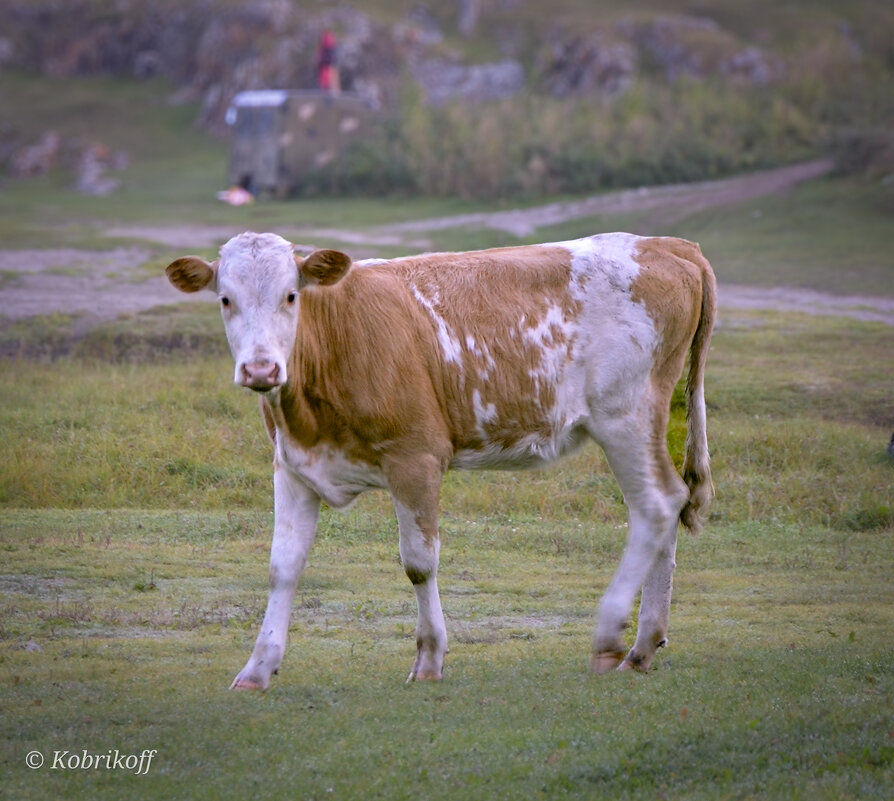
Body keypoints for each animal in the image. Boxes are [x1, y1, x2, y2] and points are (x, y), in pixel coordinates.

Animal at [164, 230, 716, 688]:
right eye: (225, 299)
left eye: (291, 295)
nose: (261, 369)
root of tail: (664, 243)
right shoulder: (293, 465)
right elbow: (283, 566)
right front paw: (257, 668)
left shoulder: (416, 458)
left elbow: (418, 562)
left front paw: (429, 658)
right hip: (648, 421)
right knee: (666, 503)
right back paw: (644, 647)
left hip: (624, 415)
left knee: (656, 504)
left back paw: (611, 637)